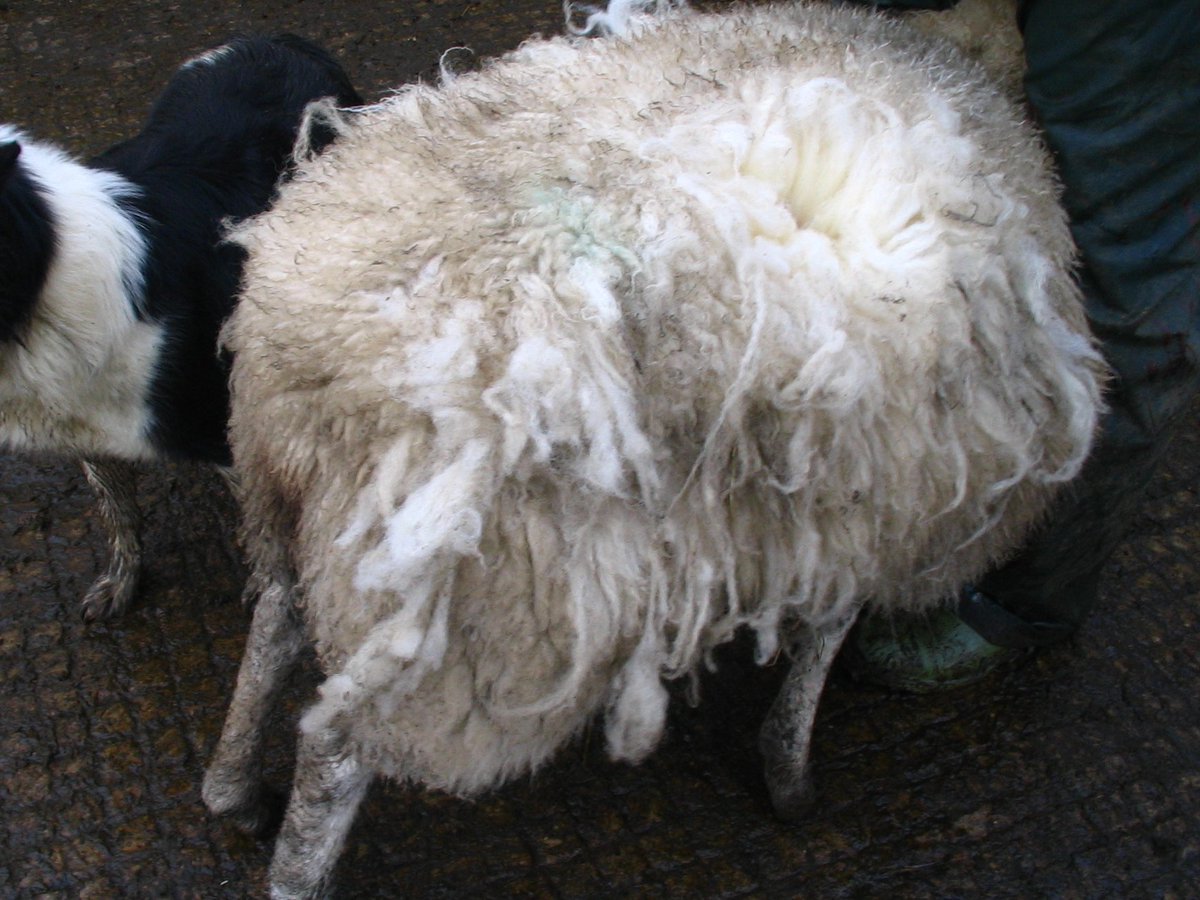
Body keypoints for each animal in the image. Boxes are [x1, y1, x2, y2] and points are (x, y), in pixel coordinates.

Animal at [0, 36, 360, 620]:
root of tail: (280, 40)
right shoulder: (82, 421)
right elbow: (117, 510)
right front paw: (120, 583)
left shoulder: (223, 424)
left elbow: (266, 538)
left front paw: (273, 605)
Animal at [203, 2, 1105, 895]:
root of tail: (321, 359)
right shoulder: (892, 499)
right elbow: (825, 636)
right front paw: (791, 778)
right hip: (471, 621)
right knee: (335, 749)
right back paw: (293, 859)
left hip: (296, 506)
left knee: (276, 619)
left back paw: (231, 789)